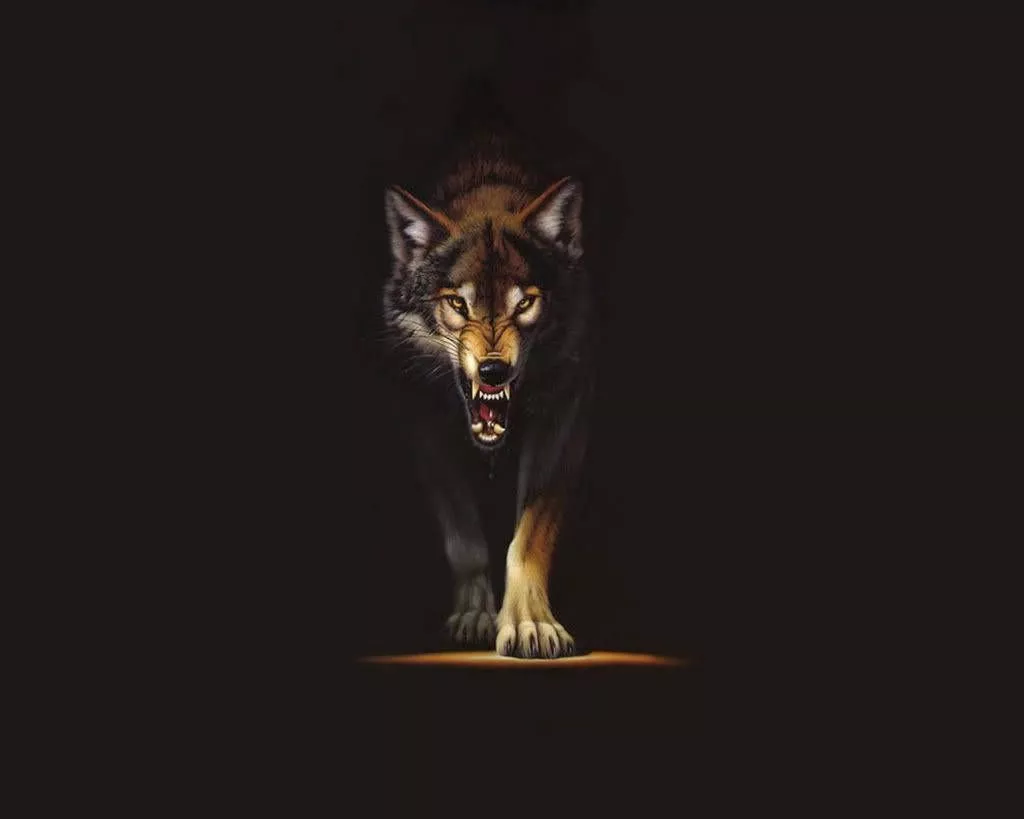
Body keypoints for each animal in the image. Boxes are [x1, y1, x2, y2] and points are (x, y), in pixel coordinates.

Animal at [381, 137, 596, 659]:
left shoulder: (565, 416)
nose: (494, 371)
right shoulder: (421, 421)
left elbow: (528, 537)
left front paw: (530, 623)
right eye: (458, 304)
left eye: (525, 303)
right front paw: (476, 615)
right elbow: (465, 538)